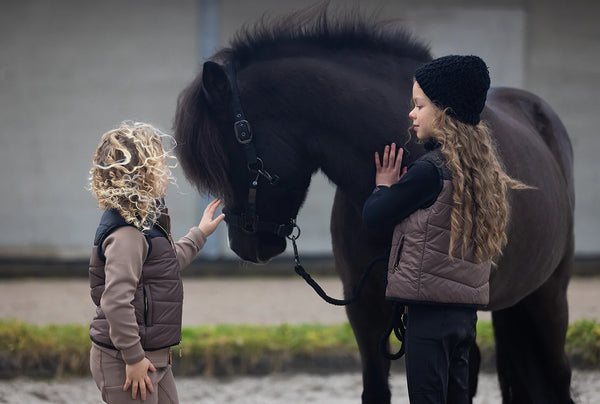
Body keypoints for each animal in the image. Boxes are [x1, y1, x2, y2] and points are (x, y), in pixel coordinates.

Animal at [175, 3, 576, 404]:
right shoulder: (366, 312)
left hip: (549, 298)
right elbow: (376, 389)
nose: (244, 245)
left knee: (557, 378)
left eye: (231, 152)